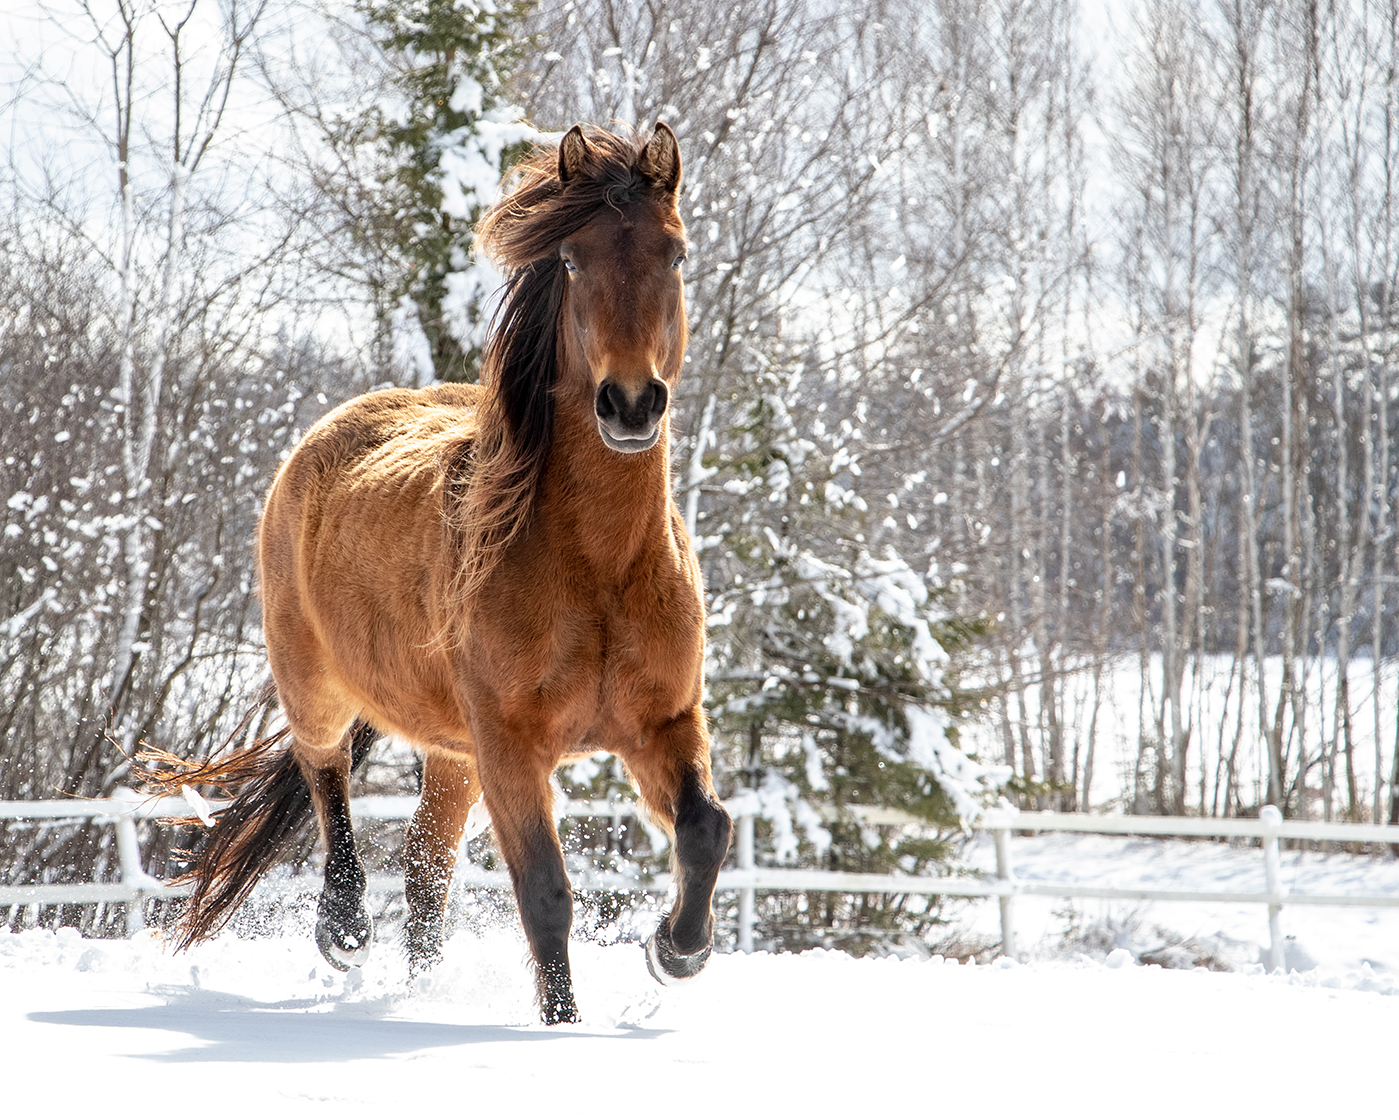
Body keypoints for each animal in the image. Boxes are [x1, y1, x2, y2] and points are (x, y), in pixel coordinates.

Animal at [154, 123, 732, 1024]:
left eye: (675, 254)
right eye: (572, 262)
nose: (631, 403)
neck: (598, 568)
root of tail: (324, 437)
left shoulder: (662, 722)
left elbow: (707, 826)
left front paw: (676, 950)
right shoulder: (511, 747)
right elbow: (545, 895)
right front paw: (562, 1027)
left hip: (452, 753)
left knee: (426, 875)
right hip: (319, 687)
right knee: (327, 781)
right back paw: (342, 928)